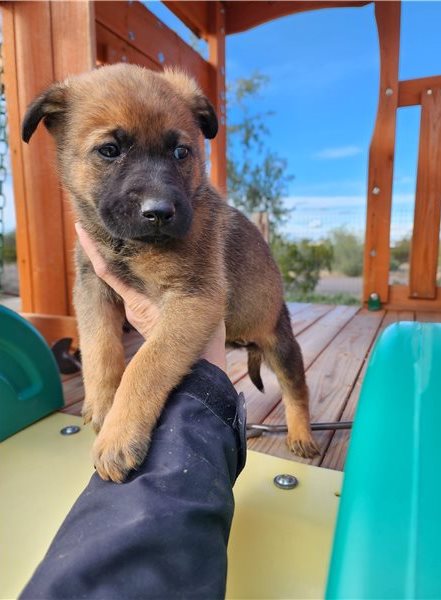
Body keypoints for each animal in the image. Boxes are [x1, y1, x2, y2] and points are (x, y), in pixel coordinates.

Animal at [22, 63, 318, 480]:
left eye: (181, 152)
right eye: (109, 150)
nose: (159, 212)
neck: (130, 245)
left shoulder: (193, 298)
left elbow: (146, 363)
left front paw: (119, 435)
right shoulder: (92, 286)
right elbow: (99, 345)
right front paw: (103, 402)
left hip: (281, 343)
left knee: (297, 391)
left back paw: (301, 434)